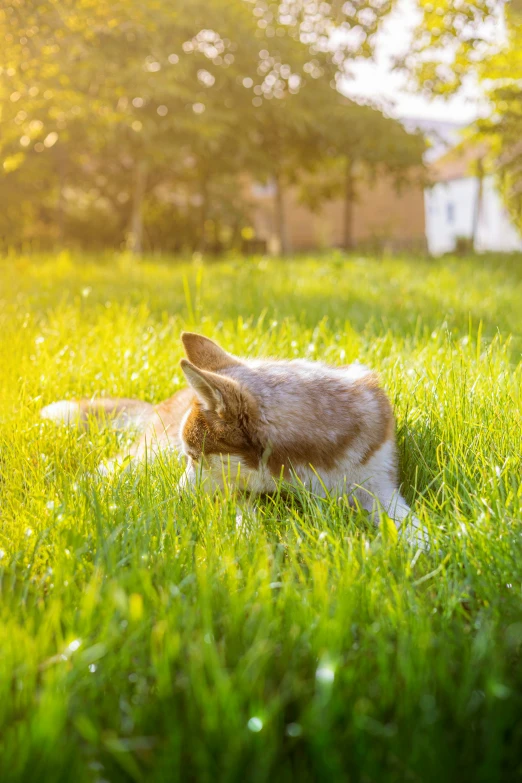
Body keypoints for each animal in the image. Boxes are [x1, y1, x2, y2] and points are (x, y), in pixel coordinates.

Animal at [42, 334, 426, 548]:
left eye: (196, 457)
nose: (178, 497)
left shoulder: (376, 482)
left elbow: (406, 520)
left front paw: (428, 546)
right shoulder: (240, 490)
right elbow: (247, 519)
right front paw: (249, 545)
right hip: (146, 456)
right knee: (111, 469)